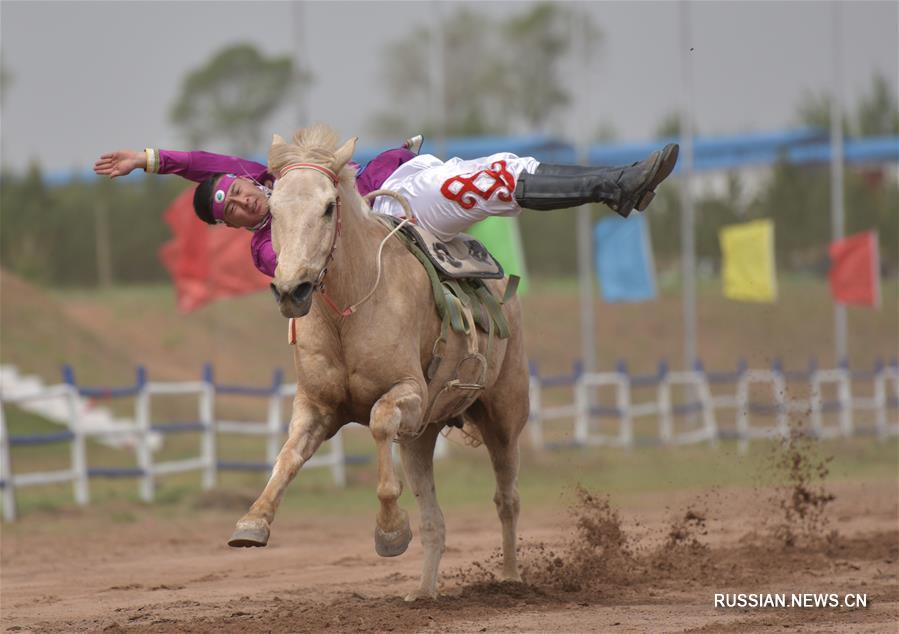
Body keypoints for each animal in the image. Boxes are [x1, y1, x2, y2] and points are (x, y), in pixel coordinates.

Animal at [229, 122, 532, 596]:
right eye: (273, 210)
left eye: (329, 207)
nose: (293, 290)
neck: (348, 310)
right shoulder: (317, 407)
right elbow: (288, 456)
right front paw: (253, 520)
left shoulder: (408, 392)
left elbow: (378, 423)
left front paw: (390, 530)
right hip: (422, 435)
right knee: (435, 520)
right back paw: (423, 592)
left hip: (504, 412)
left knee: (507, 498)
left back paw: (511, 578)